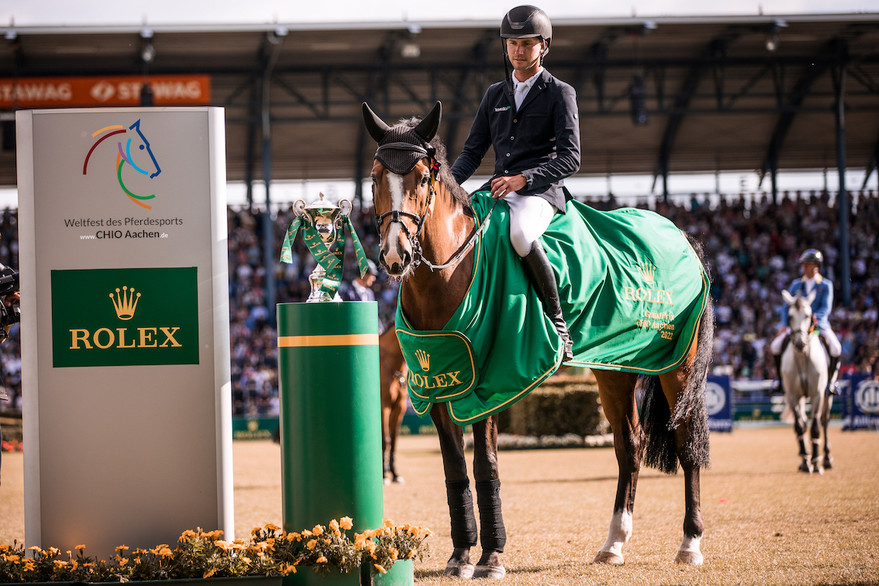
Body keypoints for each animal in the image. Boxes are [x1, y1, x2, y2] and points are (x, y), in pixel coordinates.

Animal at [364, 101, 716, 576]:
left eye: (422, 177)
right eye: (374, 178)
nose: (395, 255)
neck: (450, 274)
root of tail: (680, 234)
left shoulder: (490, 385)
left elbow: (485, 465)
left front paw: (491, 557)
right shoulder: (437, 387)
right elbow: (454, 469)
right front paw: (460, 556)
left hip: (678, 366)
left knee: (684, 442)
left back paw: (690, 544)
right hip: (616, 369)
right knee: (630, 445)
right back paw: (614, 544)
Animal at [784, 290, 832, 472]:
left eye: (808, 315)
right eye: (789, 316)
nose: (799, 343)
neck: (803, 357)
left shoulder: (817, 394)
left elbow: (816, 427)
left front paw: (816, 462)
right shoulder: (792, 395)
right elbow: (800, 426)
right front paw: (806, 461)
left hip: (827, 394)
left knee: (824, 421)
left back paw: (827, 458)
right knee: (804, 422)